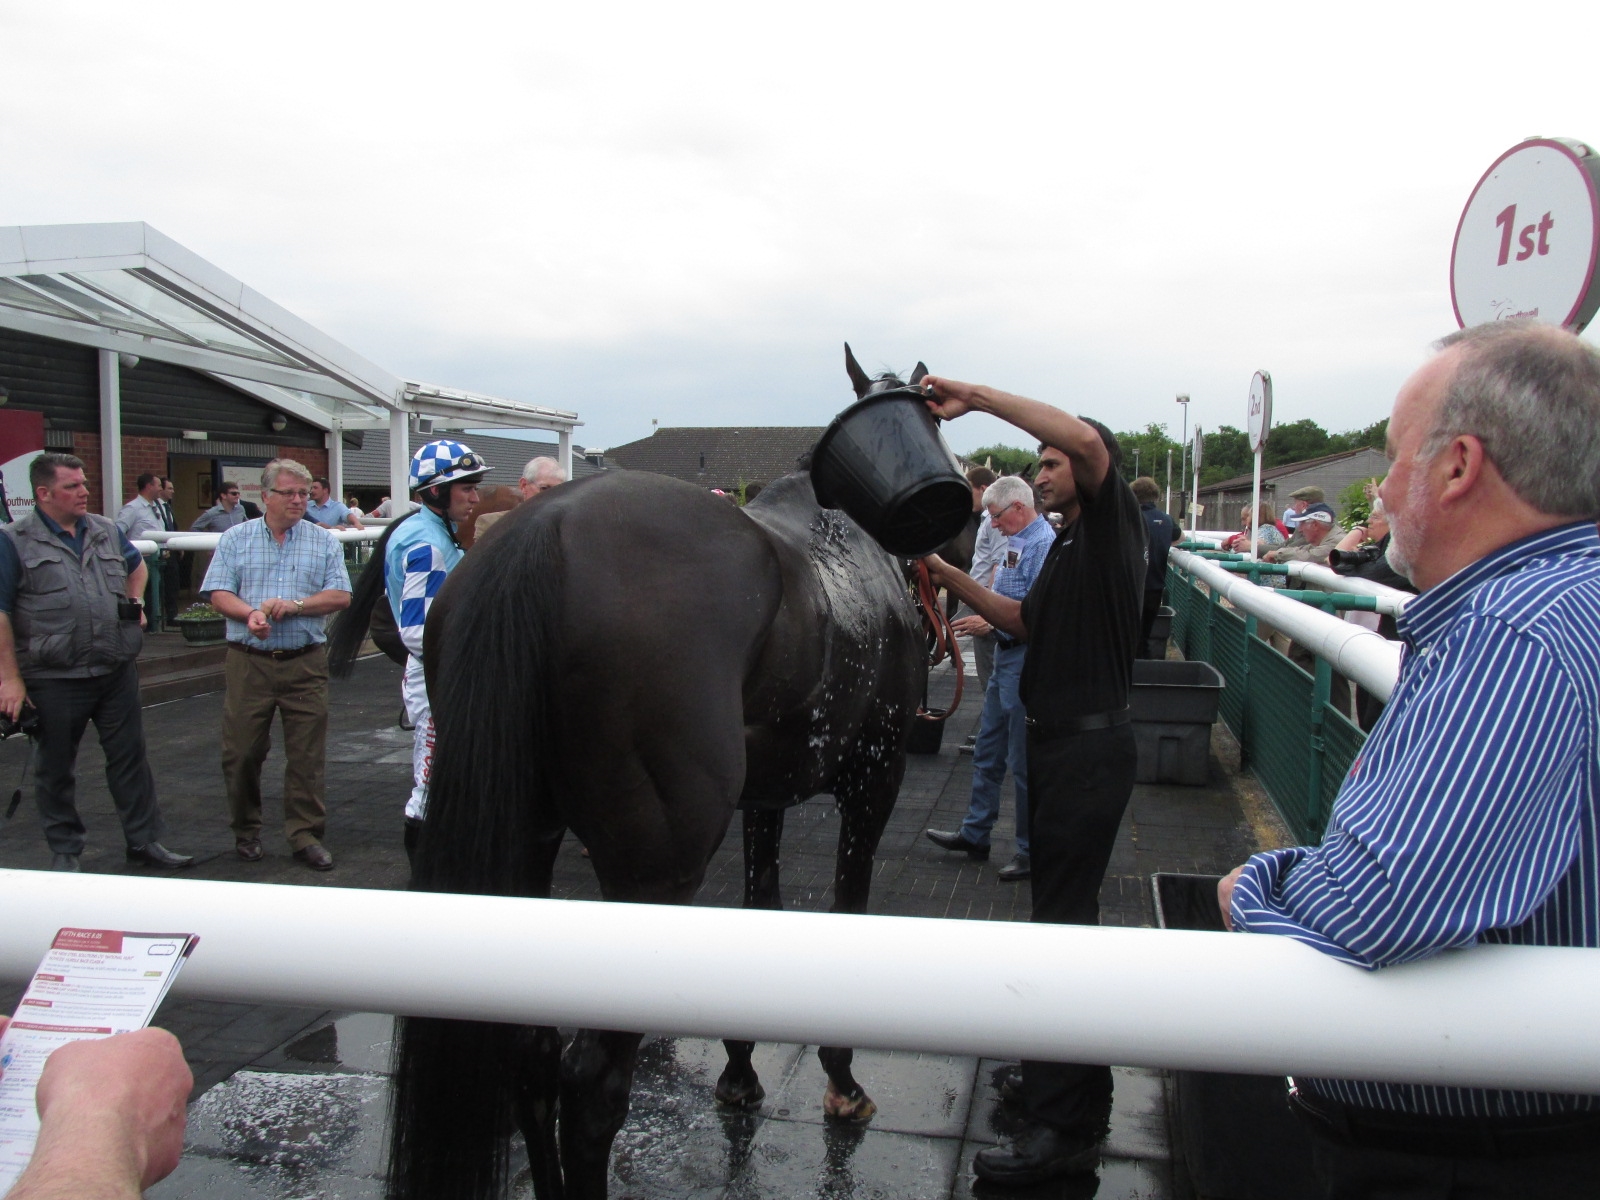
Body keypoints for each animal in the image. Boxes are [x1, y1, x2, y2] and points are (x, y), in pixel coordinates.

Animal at [376, 369, 931, 1200]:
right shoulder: (874, 777)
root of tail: (542, 535)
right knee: (591, 1086)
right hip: (655, 872)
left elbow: (760, 910)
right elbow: (847, 910)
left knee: (533, 1052)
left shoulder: (765, 796)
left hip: (528, 842)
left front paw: (740, 1071)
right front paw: (841, 1079)